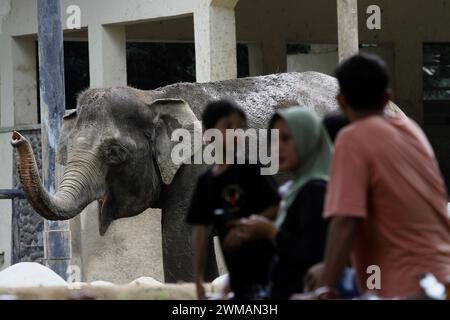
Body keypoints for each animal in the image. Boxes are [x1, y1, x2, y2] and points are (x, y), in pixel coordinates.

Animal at [8, 71, 402, 282]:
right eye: (68, 149)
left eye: (114, 152)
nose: (14, 137)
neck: (154, 96)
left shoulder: (196, 168)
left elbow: (180, 239)